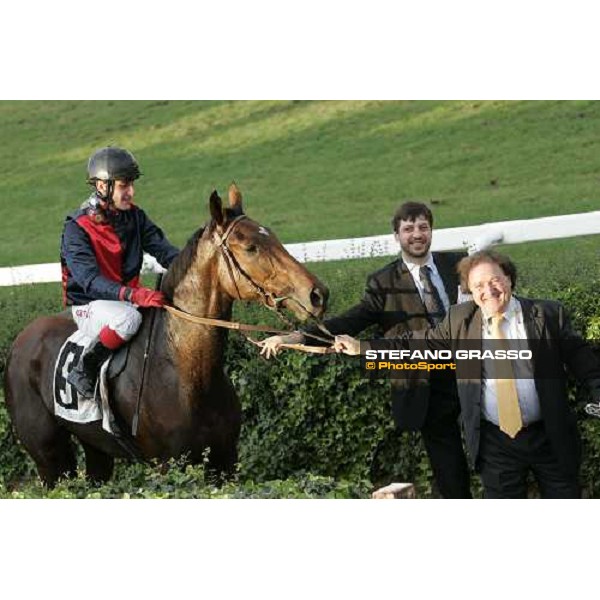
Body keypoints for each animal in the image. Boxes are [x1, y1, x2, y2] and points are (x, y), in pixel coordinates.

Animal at [3, 184, 328, 488]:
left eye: (271, 235)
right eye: (250, 247)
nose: (317, 294)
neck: (186, 371)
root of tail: (21, 340)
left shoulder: (225, 459)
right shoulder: (170, 465)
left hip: (95, 448)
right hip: (49, 456)